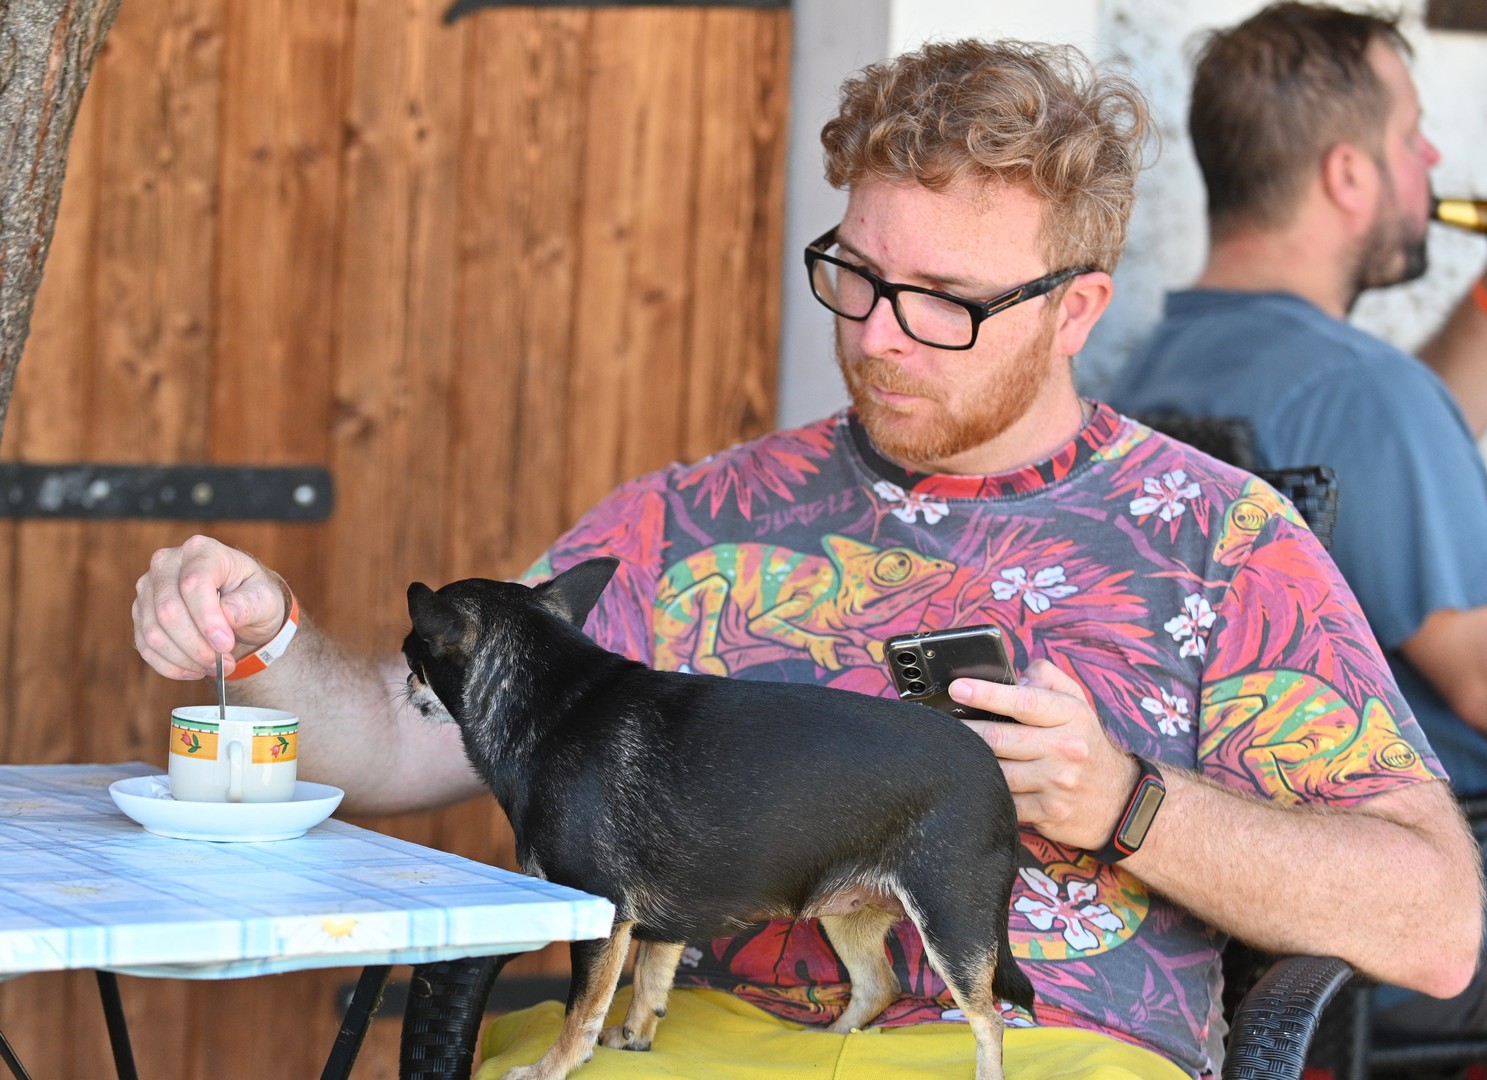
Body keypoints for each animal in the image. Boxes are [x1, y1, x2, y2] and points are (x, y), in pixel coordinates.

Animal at [402, 556, 1032, 1080]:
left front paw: (549, 1068)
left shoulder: (601, 914)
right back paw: (829, 1038)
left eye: (413, 654)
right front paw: (635, 1035)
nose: (404, 682)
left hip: (949, 921)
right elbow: (651, 975)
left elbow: (580, 1011)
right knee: (880, 985)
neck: (550, 700)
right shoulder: (660, 913)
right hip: (849, 914)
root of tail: (994, 772)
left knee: (989, 1020)